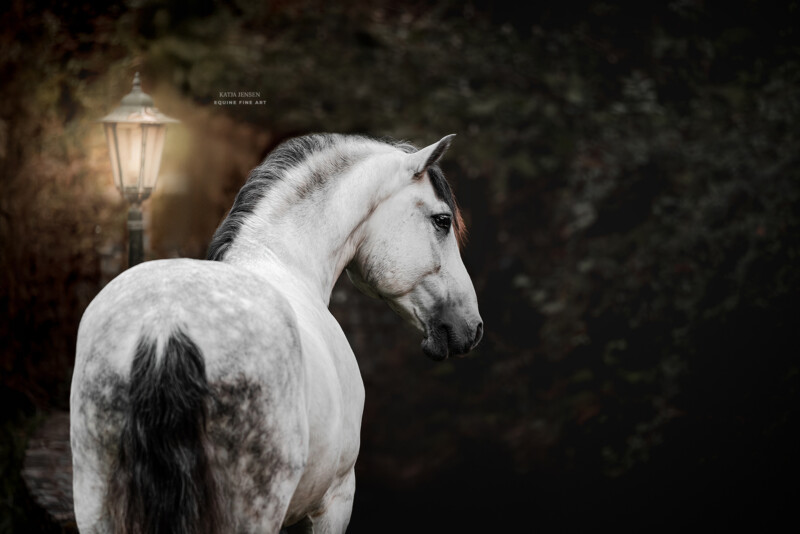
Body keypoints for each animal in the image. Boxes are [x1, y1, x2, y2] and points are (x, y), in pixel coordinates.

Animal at [70, 134, 482, 534]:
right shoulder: (335, 500)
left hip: (96, 507)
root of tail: (166, 324)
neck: (283, 261)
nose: (473, 327)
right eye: (442, 221)